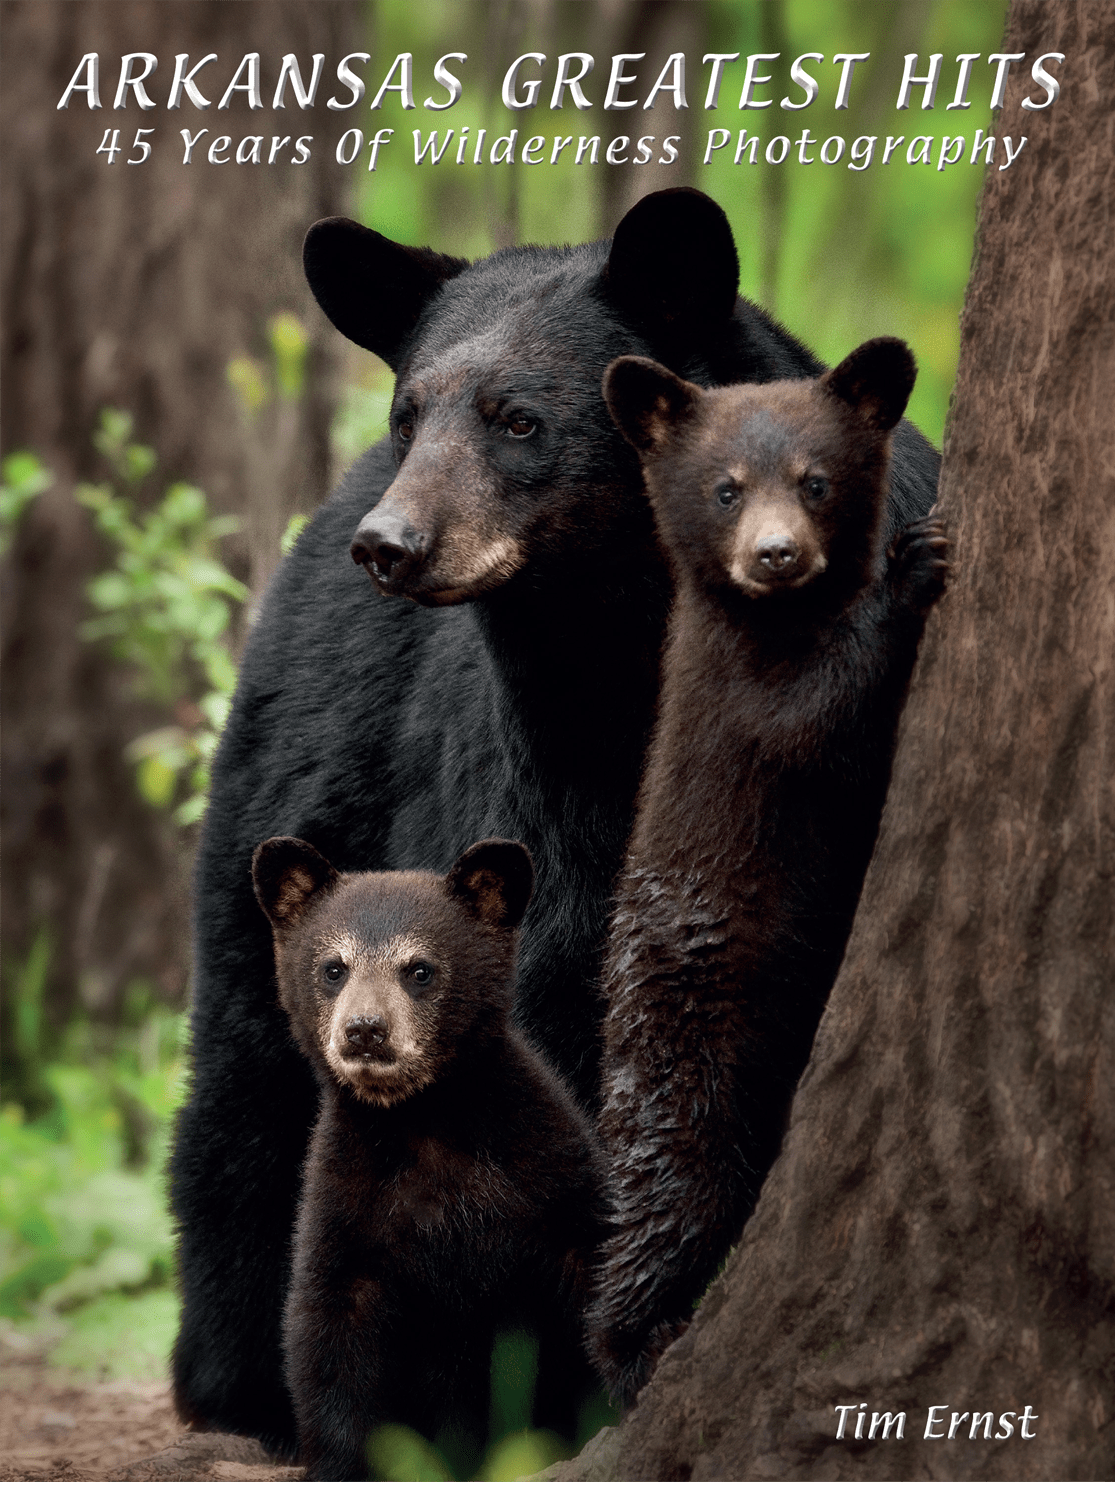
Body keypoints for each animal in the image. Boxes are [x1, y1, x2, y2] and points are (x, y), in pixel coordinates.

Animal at [588, 343, 948, 1404]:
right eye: (725, 488)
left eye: (815, 480)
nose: (776, 555)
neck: (779, 622)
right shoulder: (733, 707)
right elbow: (811, 717)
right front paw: (912, 570)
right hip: (685, 1060)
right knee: (661, 1210)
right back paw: (638, 1347)